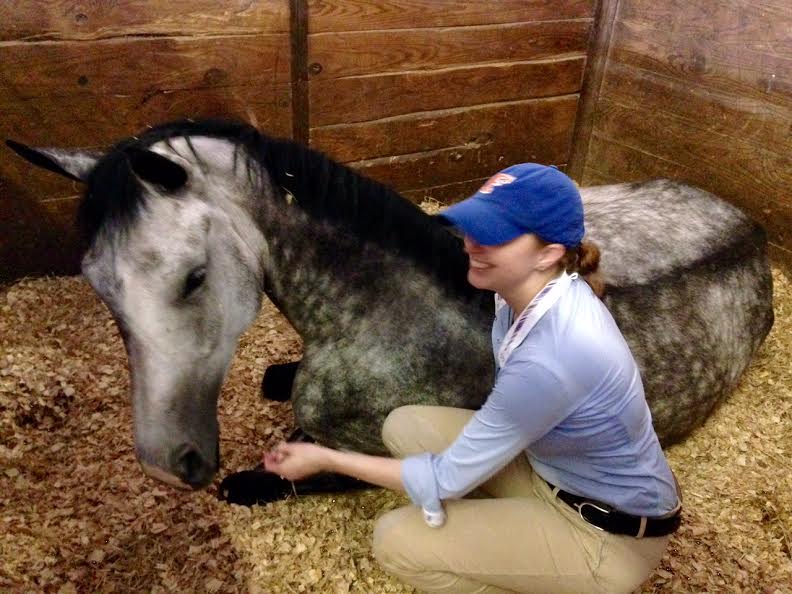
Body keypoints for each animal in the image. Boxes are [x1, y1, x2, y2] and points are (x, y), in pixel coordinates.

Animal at [6, 120, 772, 504]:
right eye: (97, 284)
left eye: (193, 278)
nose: (172, 465)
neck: (377, 308)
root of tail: (754, 229)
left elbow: (291, 475)